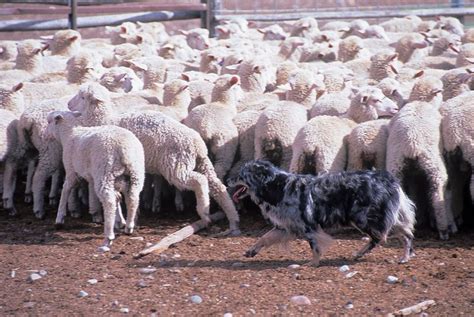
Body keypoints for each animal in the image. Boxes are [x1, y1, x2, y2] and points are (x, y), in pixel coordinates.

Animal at [45, 110, 144, 251]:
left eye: (49, 122)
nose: (45, 135)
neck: (69, 134)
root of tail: (124, 149)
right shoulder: (116, 180)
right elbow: (118, 197)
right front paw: (120, 221)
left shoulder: (71, 171)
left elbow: (65, 190)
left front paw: (59, 219)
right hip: (135, 173)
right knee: (133, 198)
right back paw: (129, 227)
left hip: (104, 171)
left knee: (109, 201)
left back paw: (108, 237)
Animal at [229, 159, 414, 266]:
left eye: (241, 174)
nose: (227, 180)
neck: (277, 188)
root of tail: (385, 178)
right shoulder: (286, 227)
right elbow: (265, 237)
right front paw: (251, 251)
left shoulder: (308, 226)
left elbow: (315, 247)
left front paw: (313, 264)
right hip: (378, 218)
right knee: (404, 233)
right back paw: (402, 256)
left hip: (363, 219)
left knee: (381, 237)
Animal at [386, 100, 458, 238]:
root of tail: (411, 144)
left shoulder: (412, 174)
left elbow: (414, 191)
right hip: (434, 164)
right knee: (438, 194)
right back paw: (444, 229)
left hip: (395, 165)